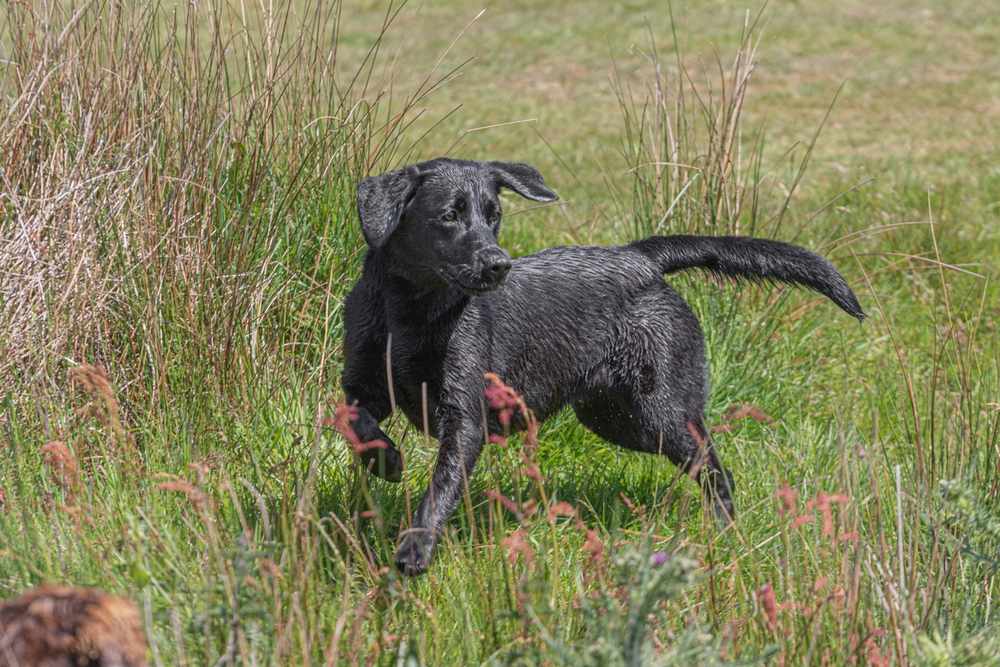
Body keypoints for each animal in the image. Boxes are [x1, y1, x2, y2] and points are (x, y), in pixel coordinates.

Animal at [340, 157, 864, 576]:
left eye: (495, 217)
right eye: (449, 216)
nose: (498, 264)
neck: (410, 314)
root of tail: (639, 258)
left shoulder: (464, 417)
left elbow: (440, 487)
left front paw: (415, 548)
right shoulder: (363, 382)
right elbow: (352, 417)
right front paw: (384, 459)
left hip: (662, 412)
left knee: (715, 469)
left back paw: (725, 533)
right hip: (614, 418)